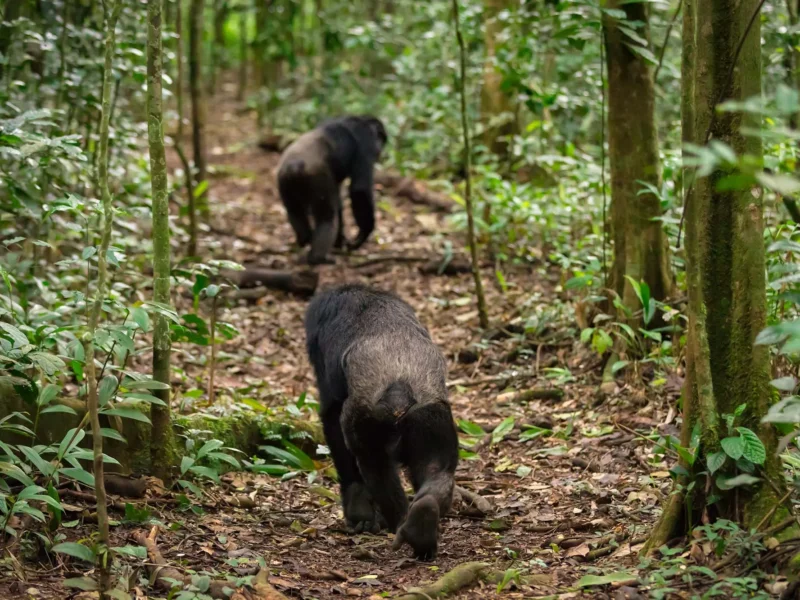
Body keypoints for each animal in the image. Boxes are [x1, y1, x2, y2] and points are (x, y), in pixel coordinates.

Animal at [276, 116, 388, 264]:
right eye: (380, 137)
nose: (380, 146)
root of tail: (295, 165)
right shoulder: (367, 143)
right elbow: (360, 189)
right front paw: (361, 236)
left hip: (284, 182)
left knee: (294, 211)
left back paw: (305, 240)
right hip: (317, 179)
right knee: (327, 216)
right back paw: (317, 257)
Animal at [304, 282, 460, 556]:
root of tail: (399, 389)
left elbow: (331, 416)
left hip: (367, 421)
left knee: (375, 468)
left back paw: (396, 521)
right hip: (432, 418)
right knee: (437, 468)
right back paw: (423, 523)